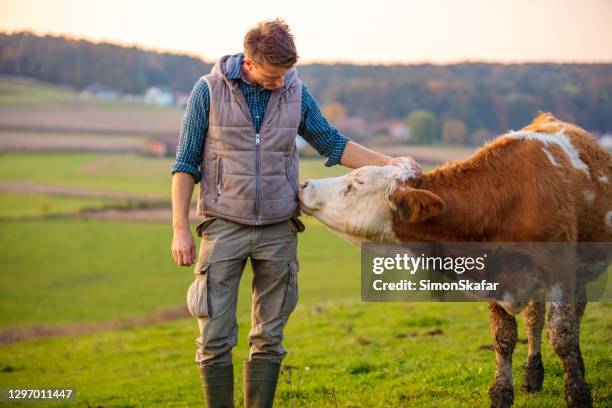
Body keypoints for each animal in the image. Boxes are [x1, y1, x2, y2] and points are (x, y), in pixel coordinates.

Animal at [298, 112, 608, 408]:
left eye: (356, 183)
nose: (304, 184)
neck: (506, 201)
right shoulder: (493, 279)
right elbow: (503, 339)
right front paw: (501, 395)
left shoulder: (559, 272)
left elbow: (563, 336)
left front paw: (578, 394)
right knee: (535, 319)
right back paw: (533, 376)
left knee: (571, 315)